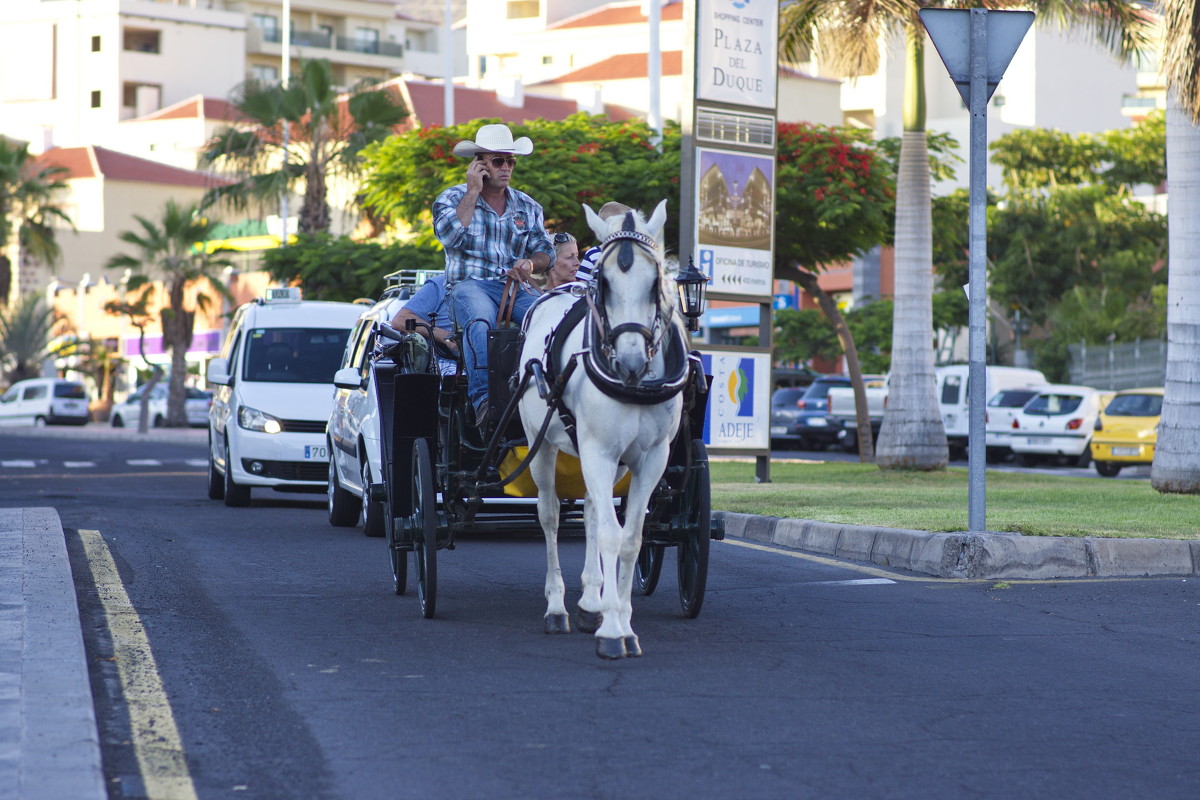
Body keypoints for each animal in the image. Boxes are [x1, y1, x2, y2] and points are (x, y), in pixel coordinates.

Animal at [516, 199, 686, 657]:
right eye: (603, 284)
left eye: (656, 282)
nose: (630, 362)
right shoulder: (598, 450)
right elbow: (610, 535)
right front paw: (612, 631)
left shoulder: (651, 459)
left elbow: (630, 537)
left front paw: (619, 619)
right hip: (543, 446)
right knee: (550, 514)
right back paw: (557, 607)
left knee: (593, 510)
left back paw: (592, 600)